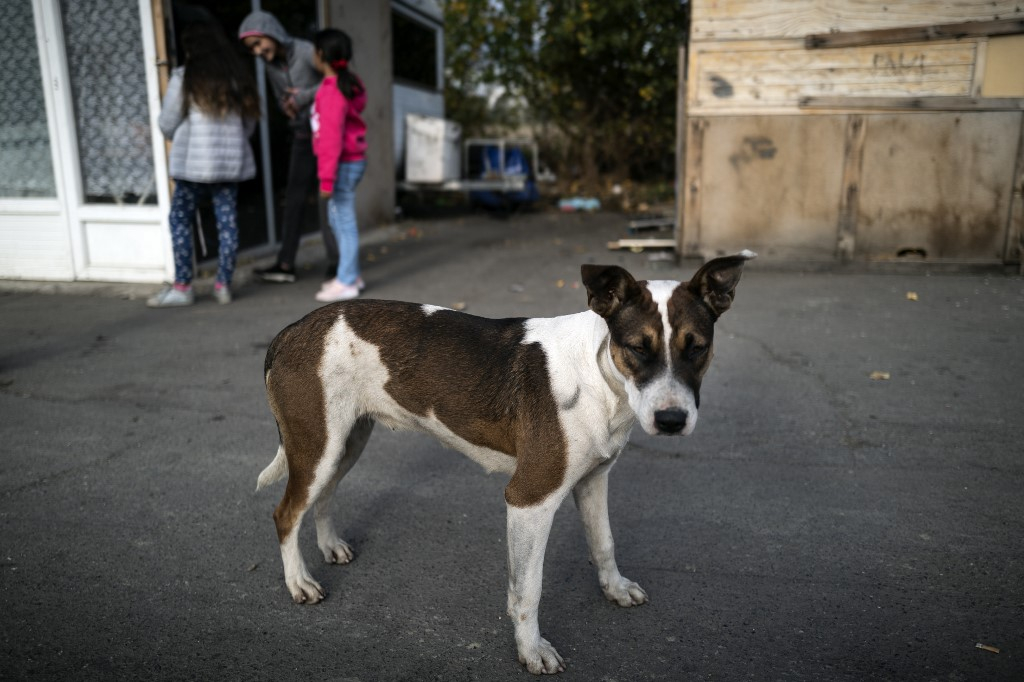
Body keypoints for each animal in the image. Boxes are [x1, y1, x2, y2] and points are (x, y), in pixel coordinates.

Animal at [256, 251, 753, 671]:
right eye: (637, 347)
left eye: (697, 347)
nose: (671, 420)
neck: (599, 374)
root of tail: (293, 329)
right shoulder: (530, 499)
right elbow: (527, 590)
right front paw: (531, 650)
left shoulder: (593, 481)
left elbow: (604, 543)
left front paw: (614, 588)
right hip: (318, 445)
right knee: (285, 513)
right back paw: (299, 582)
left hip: (341, 443)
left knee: (323, 495)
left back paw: (329, 546)